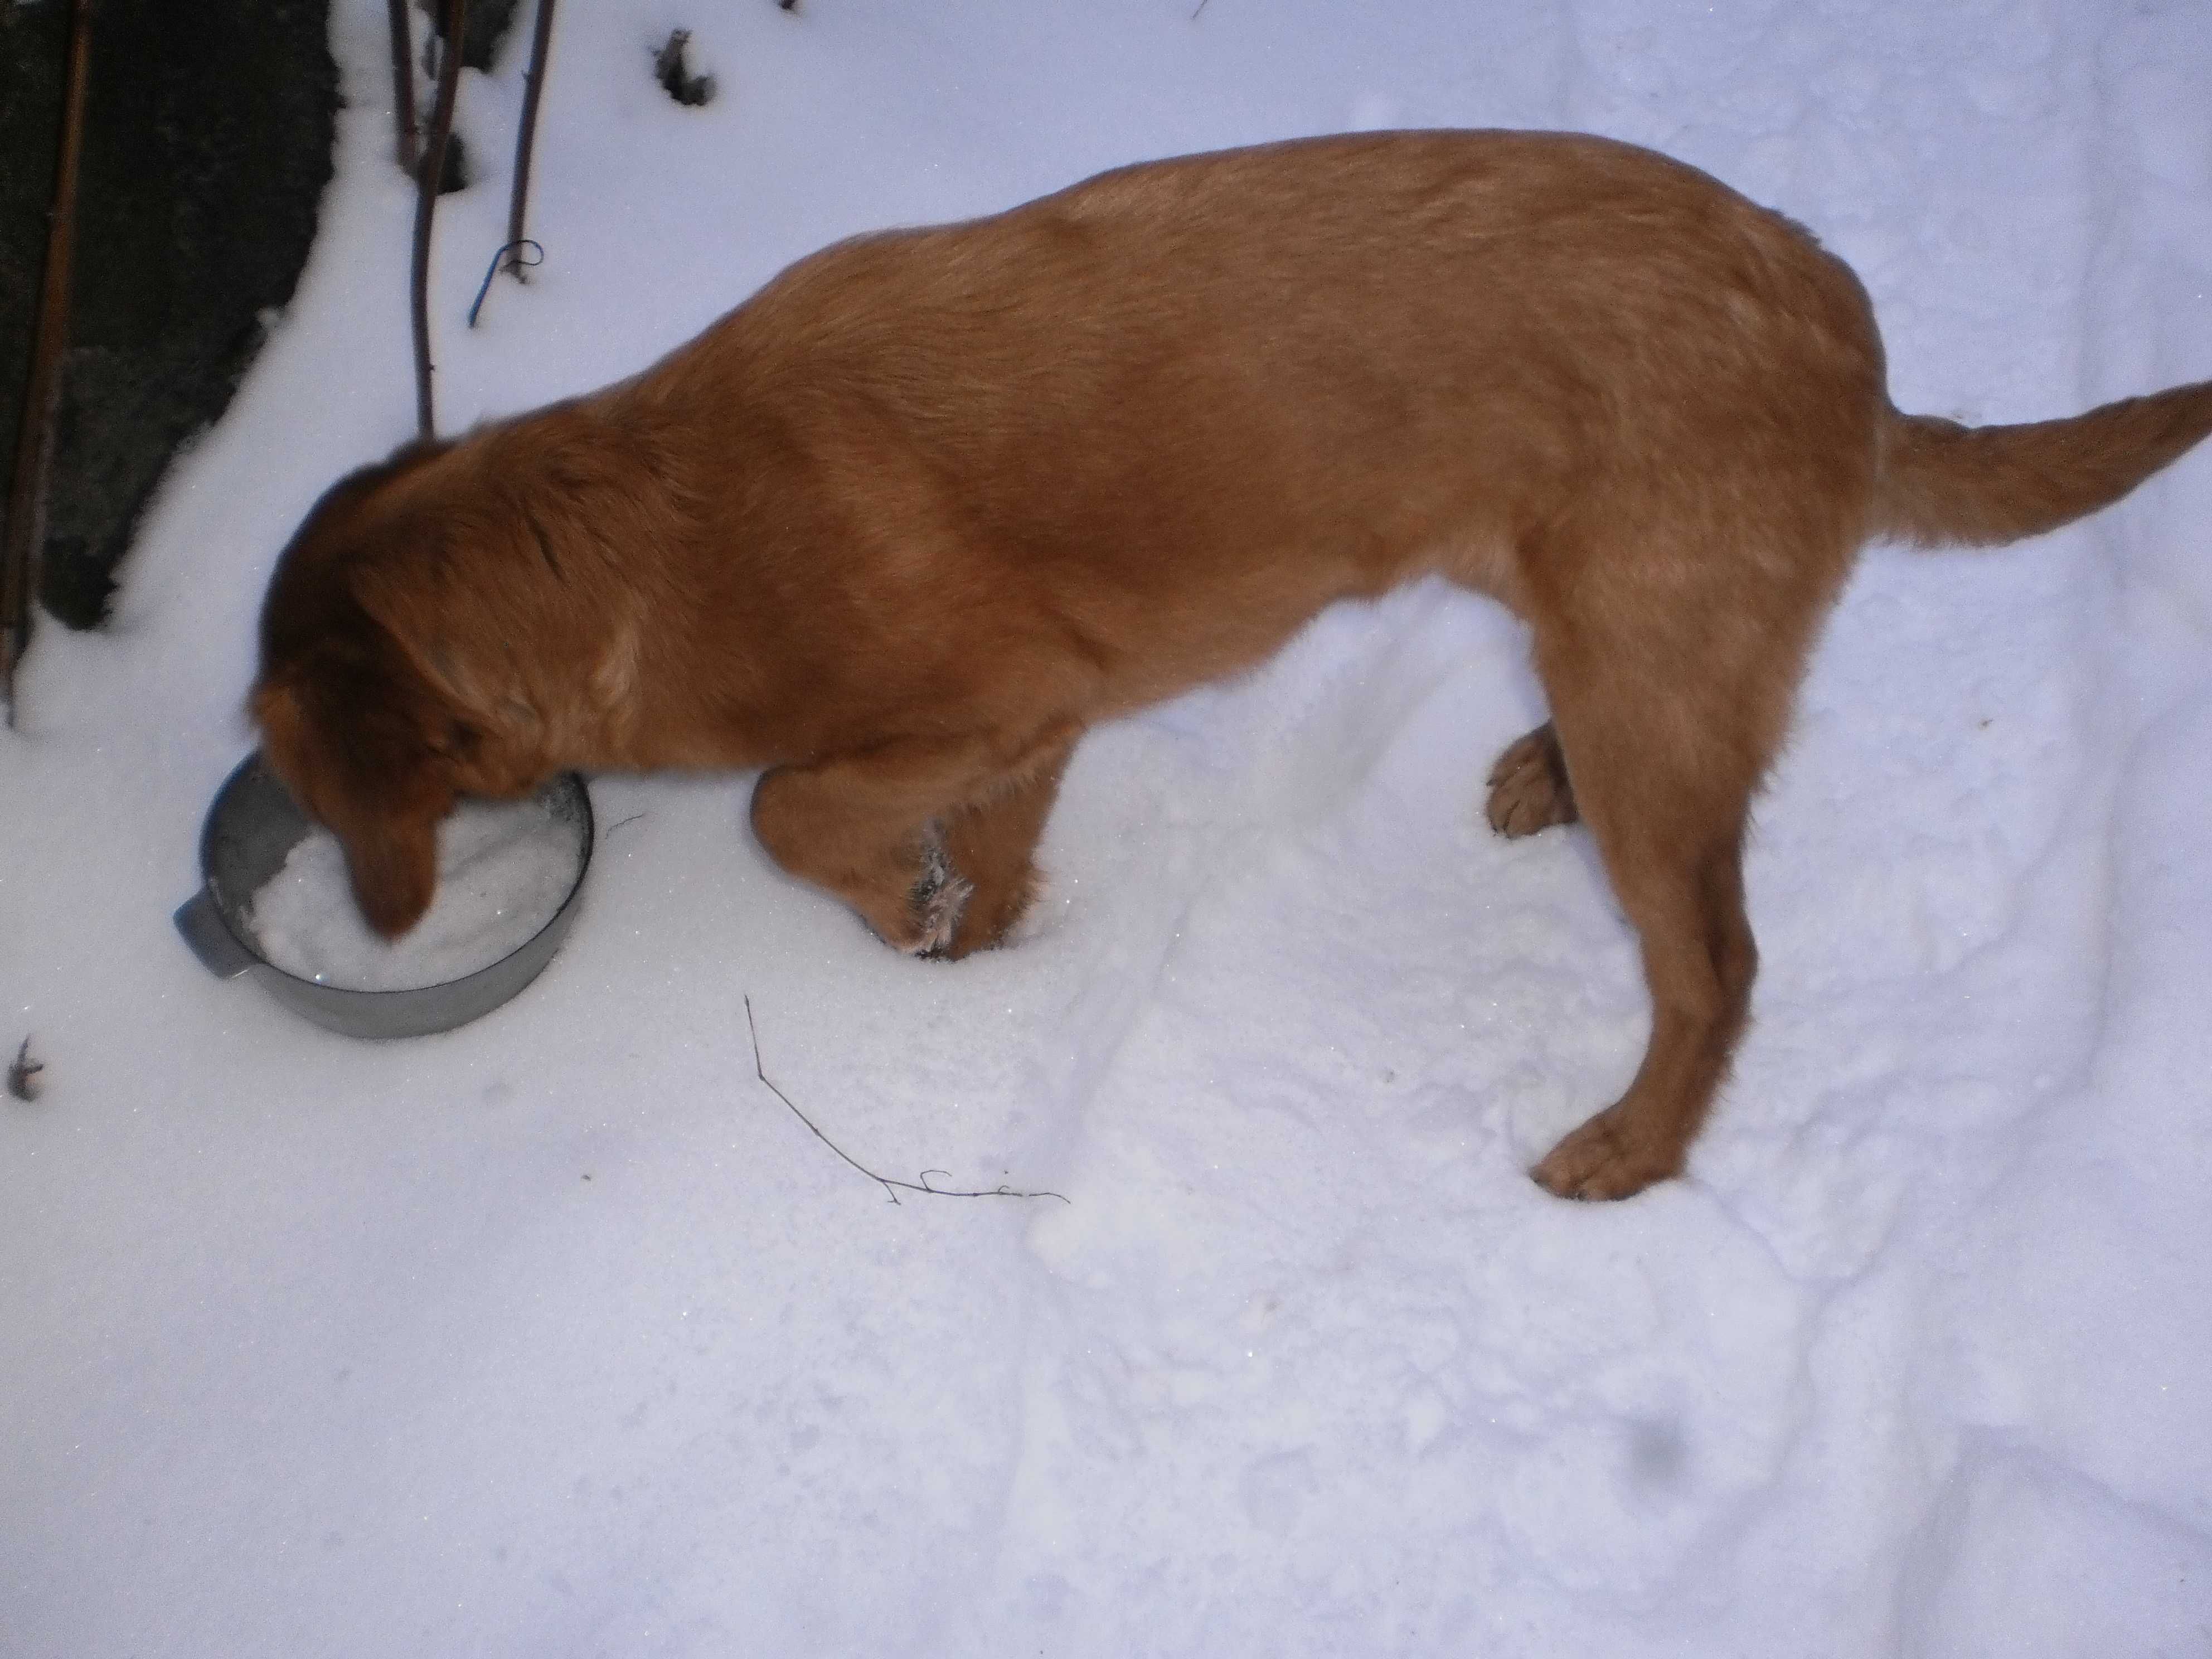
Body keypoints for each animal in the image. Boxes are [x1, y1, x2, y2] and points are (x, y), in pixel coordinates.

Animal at [246, 130, 2212, 1194]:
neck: (653, 530)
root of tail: (1853, 341)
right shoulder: (1040, 716)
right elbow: (989, 847)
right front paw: (970, 947)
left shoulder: (990, 692)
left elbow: (789, 809)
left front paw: (896, 912)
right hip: (1608, 642)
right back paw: (1537, 770)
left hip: (1657, 692)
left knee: (1714, 965)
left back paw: (1630, 1149)